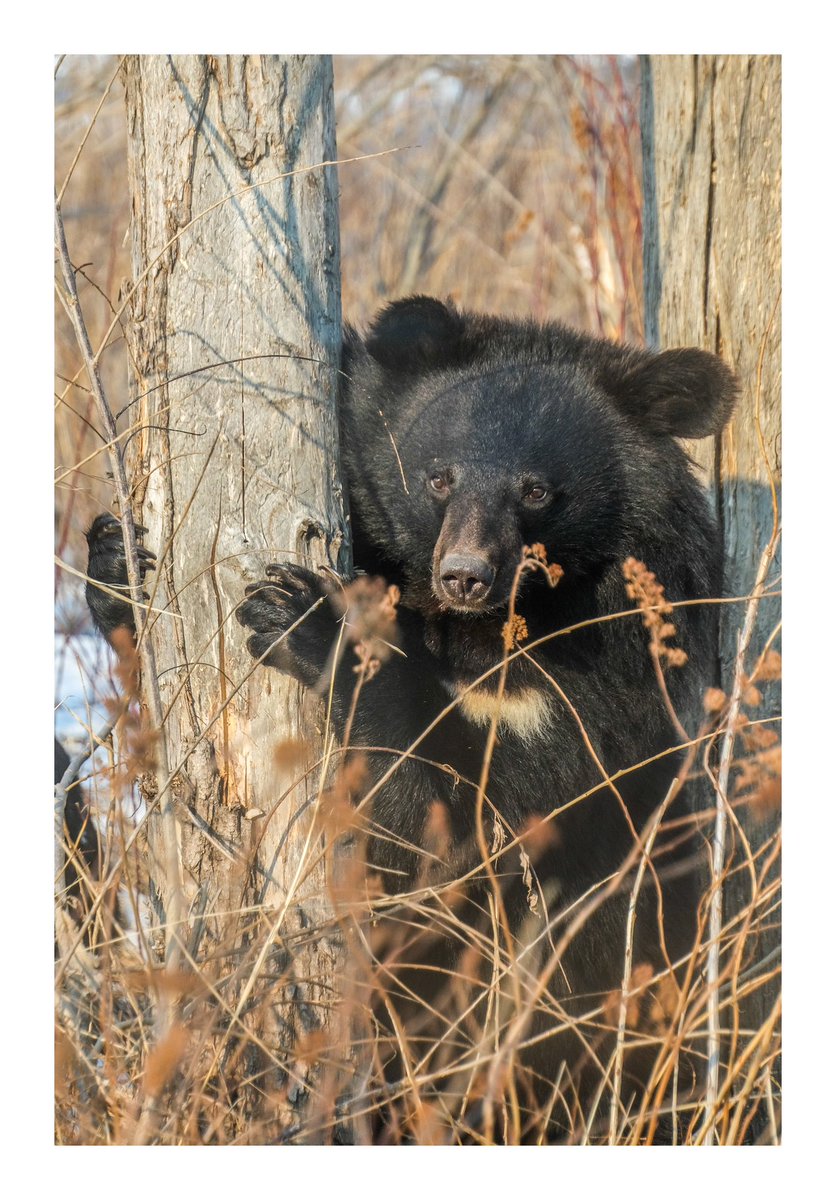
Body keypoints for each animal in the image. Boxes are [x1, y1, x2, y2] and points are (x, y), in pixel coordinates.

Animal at [85, 296, 736, 1139]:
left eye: (536, 491)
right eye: (438, 477)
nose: (465, 574)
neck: (495, 624)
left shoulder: (614, 682)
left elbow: (474, 817)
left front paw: (305, 617)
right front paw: (117, 560)